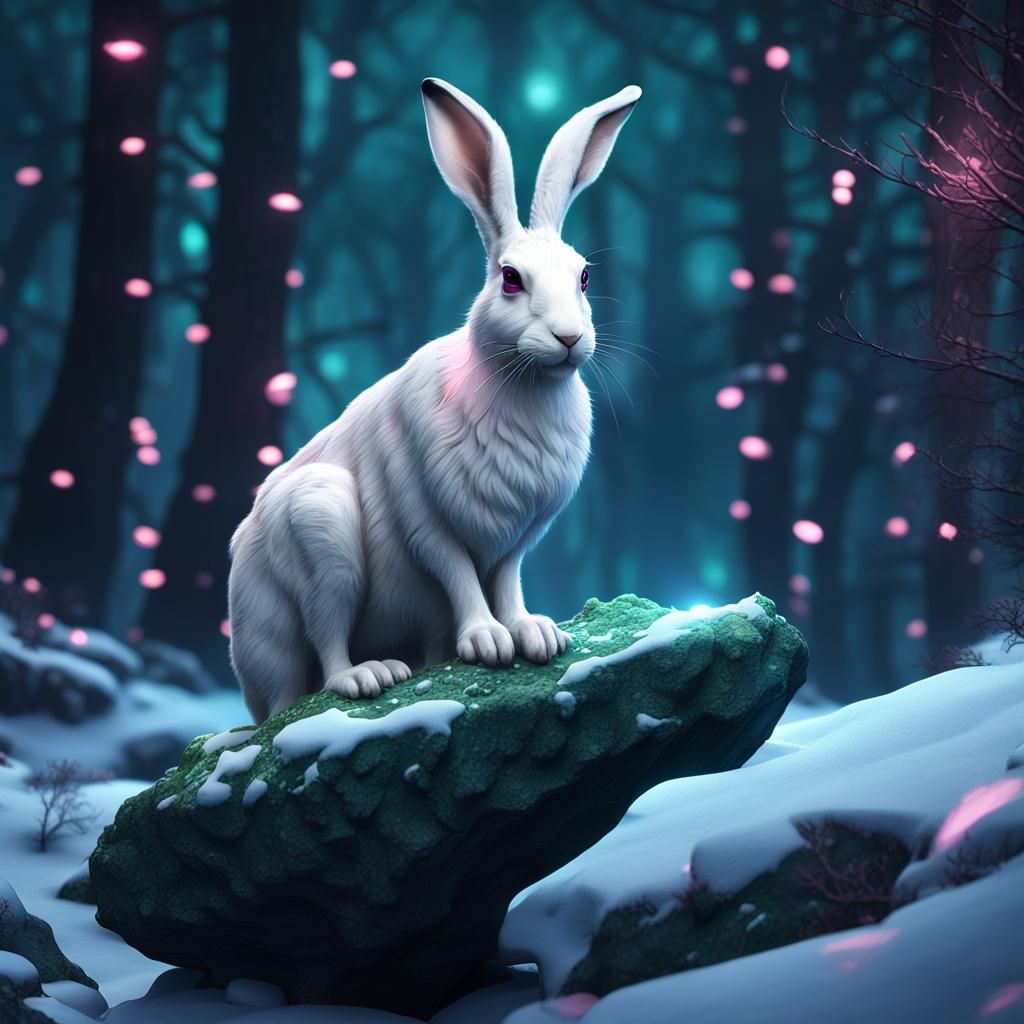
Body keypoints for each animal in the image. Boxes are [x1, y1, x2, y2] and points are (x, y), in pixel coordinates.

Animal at [228, 77, 641, 723]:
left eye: (583, 277)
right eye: (511, 279)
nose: (570, 338)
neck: (522, 383)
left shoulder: (516, 538)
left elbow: (506, 582)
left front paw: (534, 634)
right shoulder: (427, 517)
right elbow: (458, 575)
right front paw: (487, 642)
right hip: (321, 530)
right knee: (325, 648)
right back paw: (369, 675)